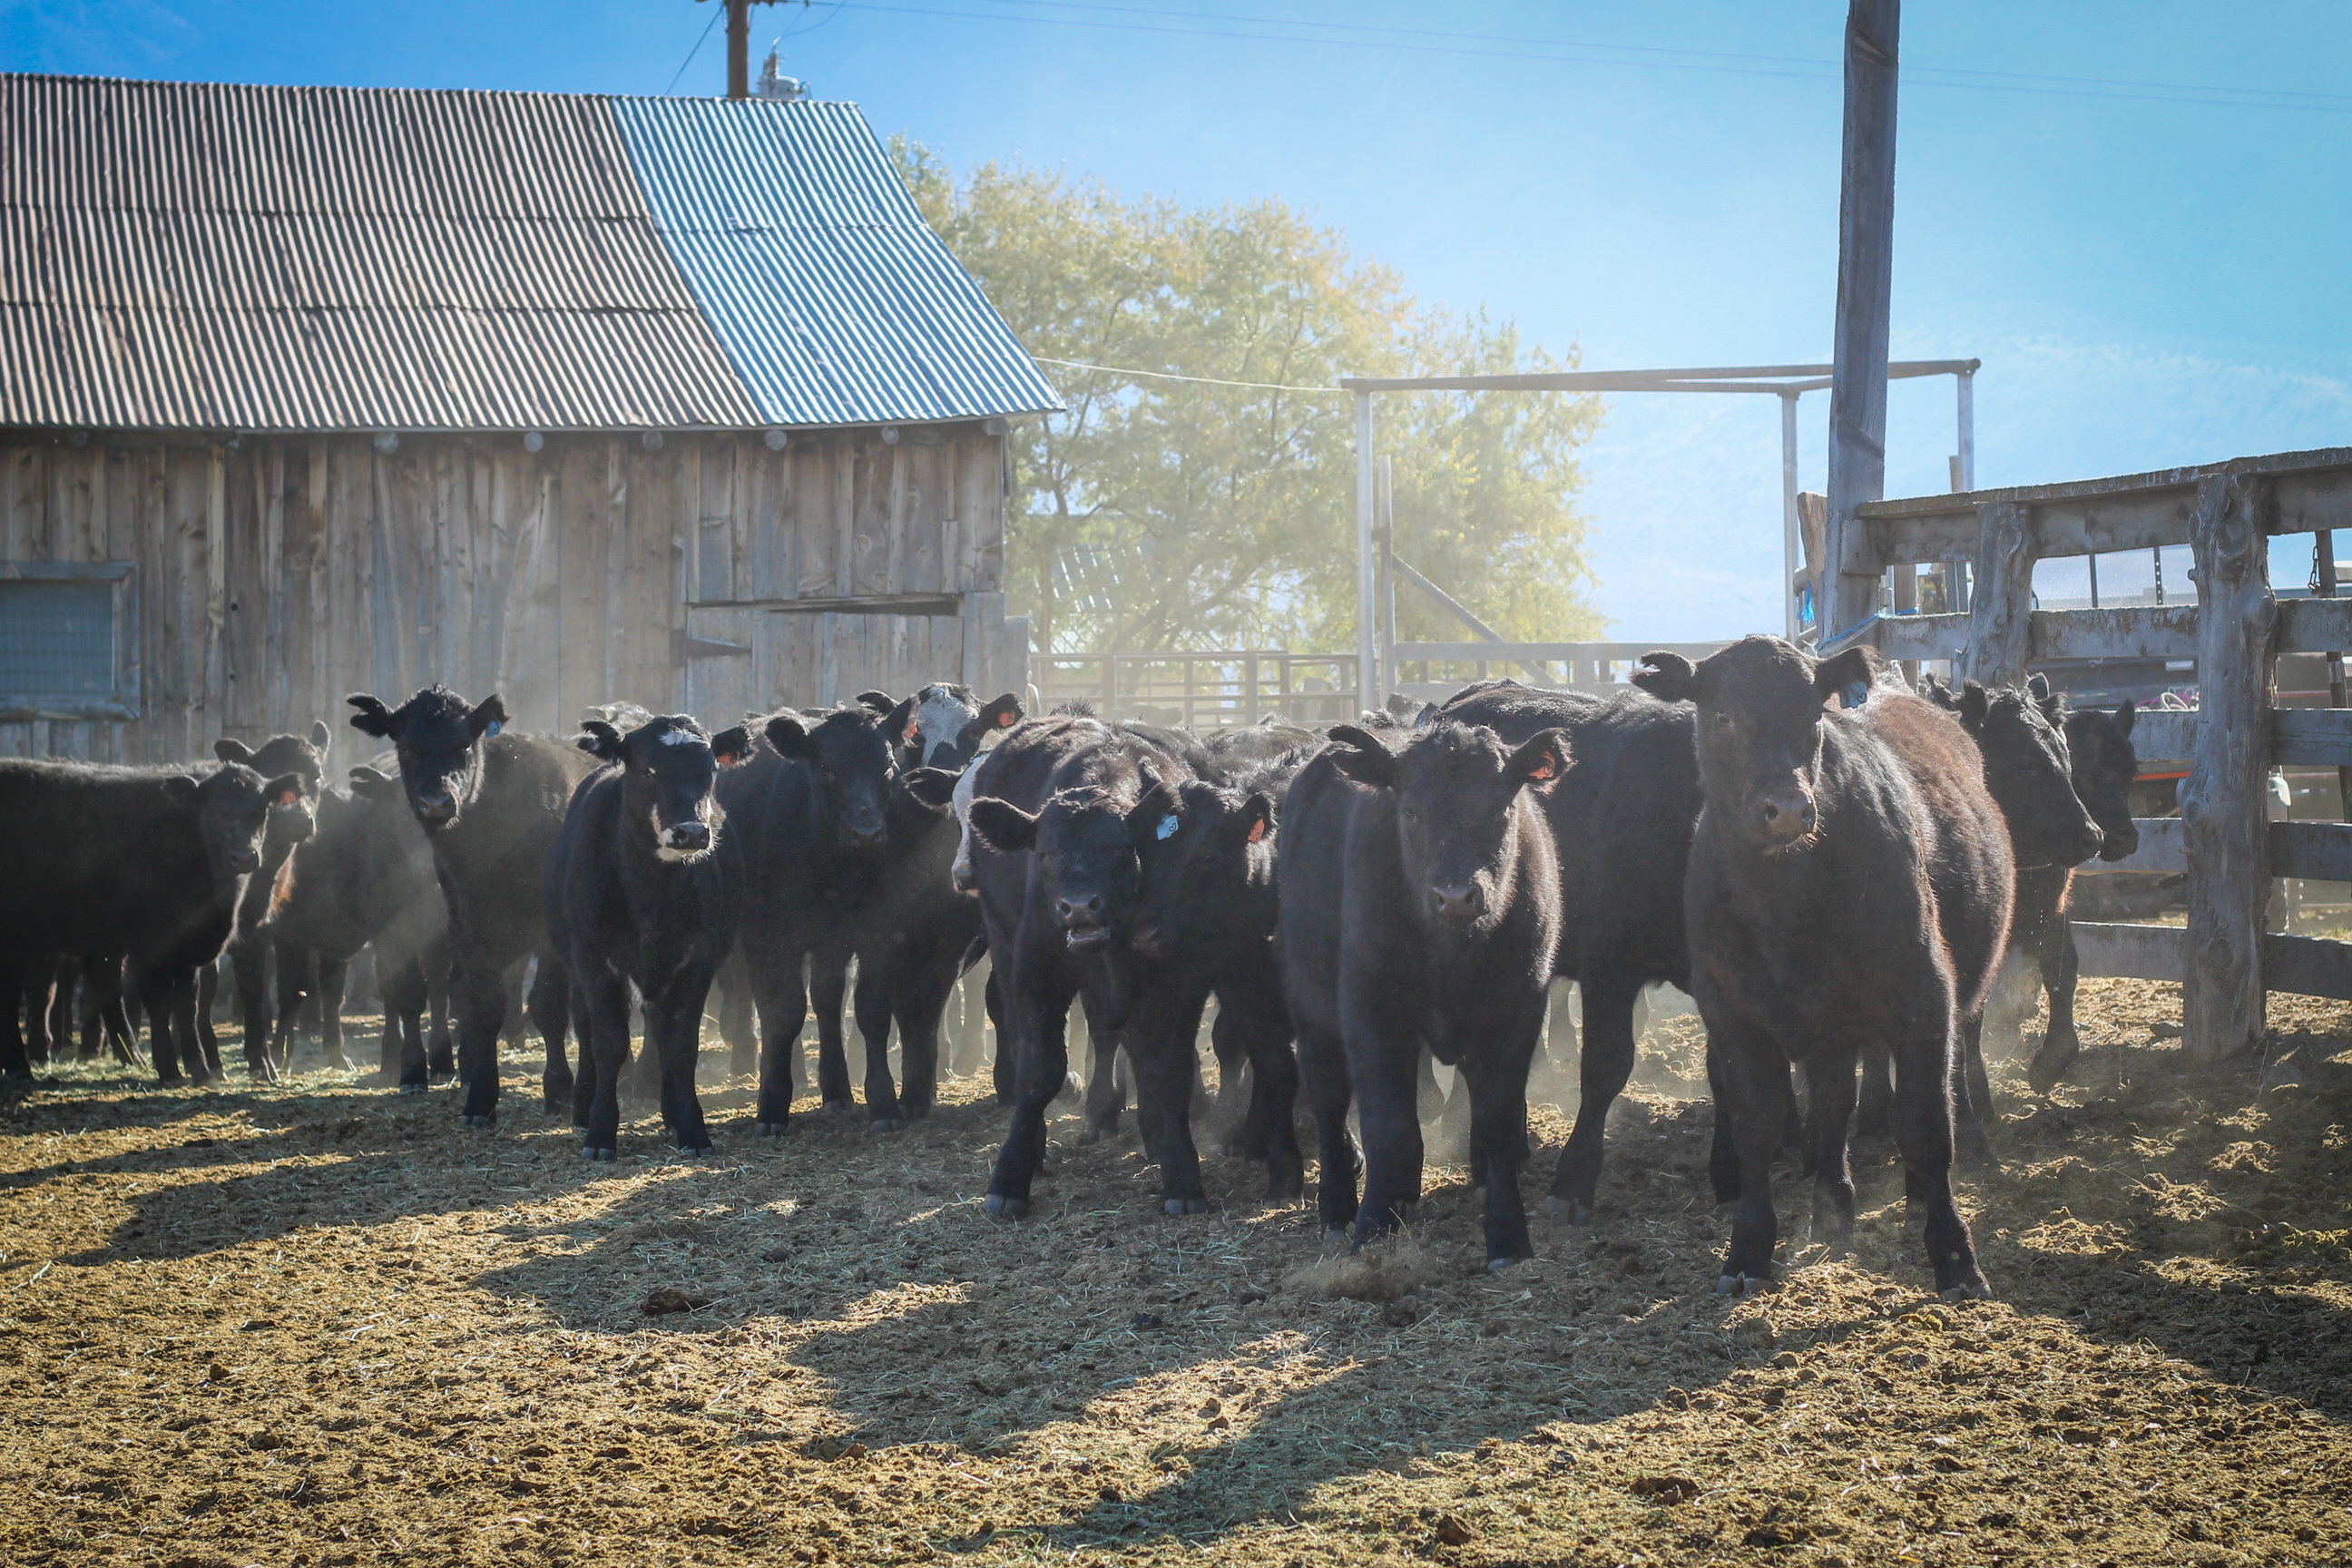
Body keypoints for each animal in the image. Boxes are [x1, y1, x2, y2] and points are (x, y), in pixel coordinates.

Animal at [343, 681, 597, 1113]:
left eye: (464, 745)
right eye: (406, 747)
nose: (436, 803)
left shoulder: (547, 934)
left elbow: (546, 1006)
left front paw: (558, 1089)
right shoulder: (460, 928)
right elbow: (471, 1005)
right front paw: (471, 1091)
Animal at [543, 719, 743, 1161]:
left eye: (710, 770)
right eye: (648, 770)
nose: (690, 833)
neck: (652, 895)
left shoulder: (698, 960)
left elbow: (680, 1044)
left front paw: (691, 1127)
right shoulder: (594, 959)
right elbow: (608, 1043)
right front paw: (600, 1132)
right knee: (584, 1026)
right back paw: (582, 1105)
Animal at [1269, 723, 1562, 1279]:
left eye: (1501, 808)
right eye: (1409, 812)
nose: (1456, 896)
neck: (1451, 952)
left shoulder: (1517, 1011)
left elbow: (1499, 1124)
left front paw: (1508, 1237)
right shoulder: (1371, 1012)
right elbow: (1389, 1126)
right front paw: (1373, 1233)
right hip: (1311, 1007)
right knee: (1328, 1097)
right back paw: (1338, 1207)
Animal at [1637, 639, 2004, 1298]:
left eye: (1814, 717)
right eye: (1723, 715)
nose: (1785, 809)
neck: (1786, 901)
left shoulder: (1924, 994)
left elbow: (1926, 1123)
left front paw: (1955, 1256)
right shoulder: (1730, 1010)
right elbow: (1760, 1124)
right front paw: (1748, 1249)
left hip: (1958, 997)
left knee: (1947, 1080)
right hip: (1829, 1025)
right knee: (1833, 1107)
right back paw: (1832, 1212)